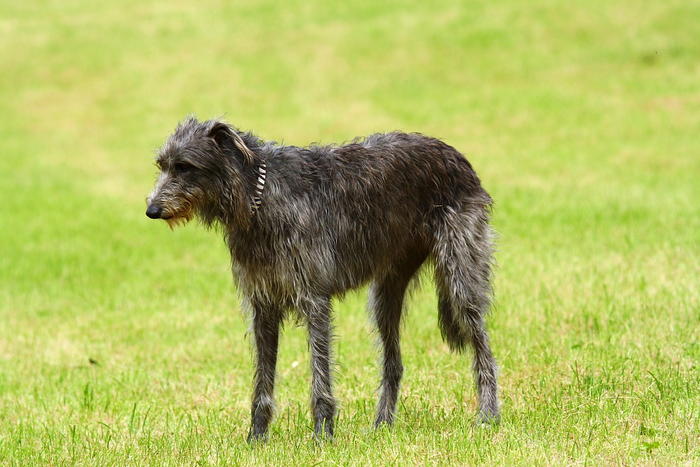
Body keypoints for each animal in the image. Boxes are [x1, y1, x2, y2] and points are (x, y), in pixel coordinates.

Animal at [146, 117, 498, 442]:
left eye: (184, 166)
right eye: (162, 165)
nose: (151, 210)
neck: (260, 197)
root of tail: (454, 154)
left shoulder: (313, 299)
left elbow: (319, 372)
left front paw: (322, 434)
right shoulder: (263, 306)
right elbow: (263, 377)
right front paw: (256, 438)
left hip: (461, 276)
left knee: (483, 347)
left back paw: (488, 415)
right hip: (386, 292)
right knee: (393, 362)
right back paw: (382, 425)